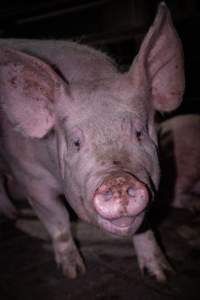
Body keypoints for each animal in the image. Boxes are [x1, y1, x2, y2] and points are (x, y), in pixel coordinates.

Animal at [0, 2, 184, 282]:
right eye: (76, 142)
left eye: (139, 133)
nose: (119, 180)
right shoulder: (31, 178)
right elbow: (58, 221)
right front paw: (74, 272)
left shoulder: (151, 184)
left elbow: (144, 227)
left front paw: (162, 274)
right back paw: (13, 215)